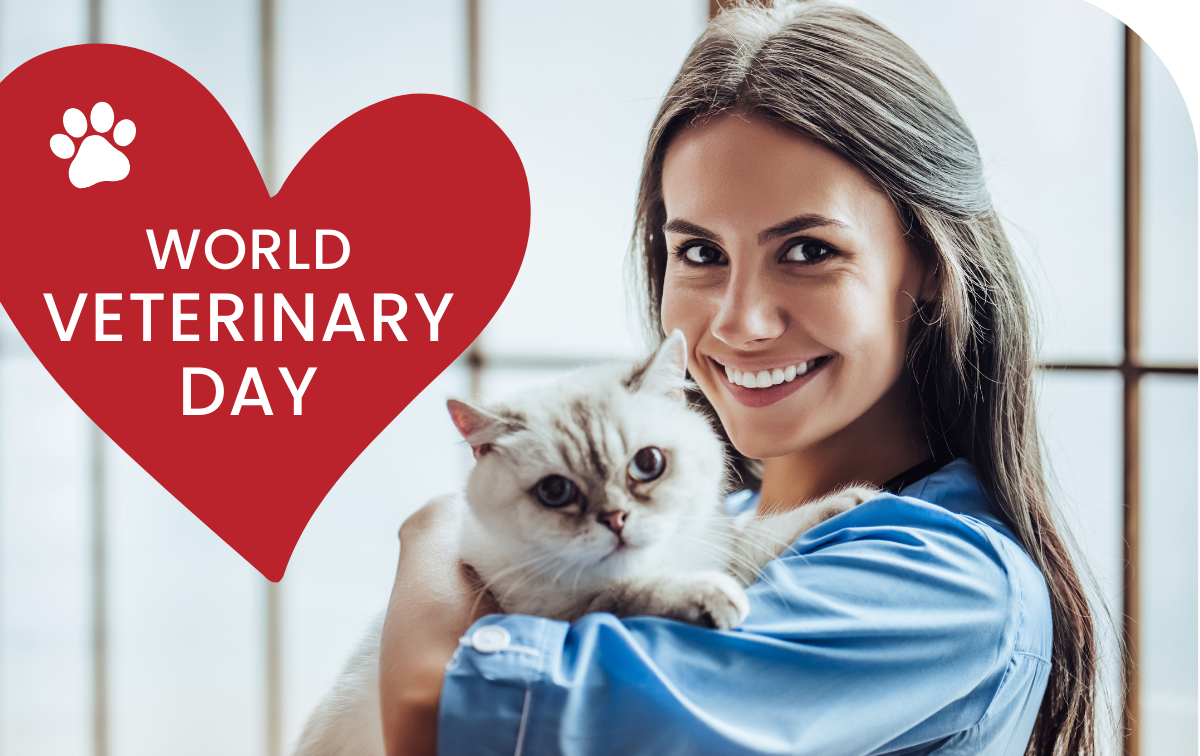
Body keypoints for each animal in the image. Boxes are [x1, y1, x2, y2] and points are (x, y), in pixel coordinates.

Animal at [290, 333, 873, 756]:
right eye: (556, 492)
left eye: (648, 464)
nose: (615, 519)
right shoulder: (555, 613)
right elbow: (631, 594)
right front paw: (706, 596)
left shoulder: (720, 546)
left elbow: (758, 536)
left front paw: (855, 500)